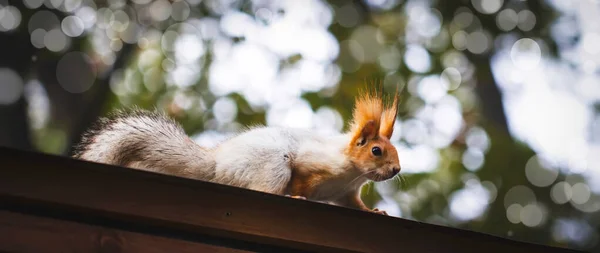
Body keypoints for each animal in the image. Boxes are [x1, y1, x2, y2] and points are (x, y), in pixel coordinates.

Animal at [72, 89, 400, 215]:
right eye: (376, 150)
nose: (397, 170)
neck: (351, 173)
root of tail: (217, 165)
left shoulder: (347, 193)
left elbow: (355, 205)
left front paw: (376, 211)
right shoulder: (312, 164)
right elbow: (301, 177)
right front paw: (297, 195)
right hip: (272, 165)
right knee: (265, 189)